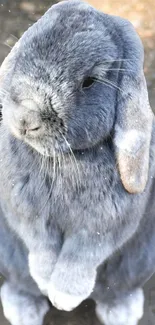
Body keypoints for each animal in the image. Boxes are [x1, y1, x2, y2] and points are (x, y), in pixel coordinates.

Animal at [0, 0, 155, 322]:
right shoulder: (27, 215)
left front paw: (64, 298)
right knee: (20, 285)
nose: (26, 119)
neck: (63, 159)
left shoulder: (102, 226)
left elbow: (80, 256)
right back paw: (24, 311)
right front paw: (46, 282)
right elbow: (41, 246)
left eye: (89, 82)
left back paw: (122, 312)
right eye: (24, 51)